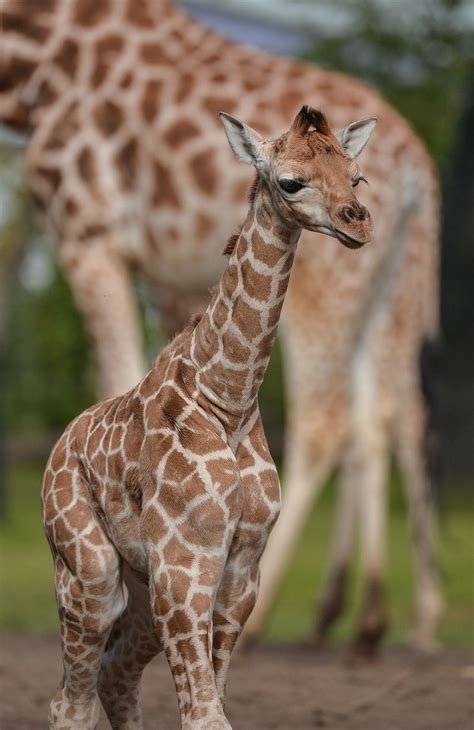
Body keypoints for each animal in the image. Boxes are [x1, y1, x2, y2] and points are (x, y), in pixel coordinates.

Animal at [1, 0, 442, 648]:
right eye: (292, 180)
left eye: (354, 176)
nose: (358, 216)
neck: (33, 65)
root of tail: (417, 174)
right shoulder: (163, 274)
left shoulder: (87, 231)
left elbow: (117, 373)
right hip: (395, 283)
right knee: (392, 415)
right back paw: (380, 618)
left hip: (334, 289)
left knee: (330, 418)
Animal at [41, 104, 374, 728]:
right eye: (290, 181)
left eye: (357, 177)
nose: (359, 223)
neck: (230, 398)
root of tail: (58, 445)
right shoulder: (185, 563)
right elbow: (203, 714)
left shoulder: (240, 568)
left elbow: (214, 705)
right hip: (90, 574)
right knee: (69, 701)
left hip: (141, 589)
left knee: (113, 675)